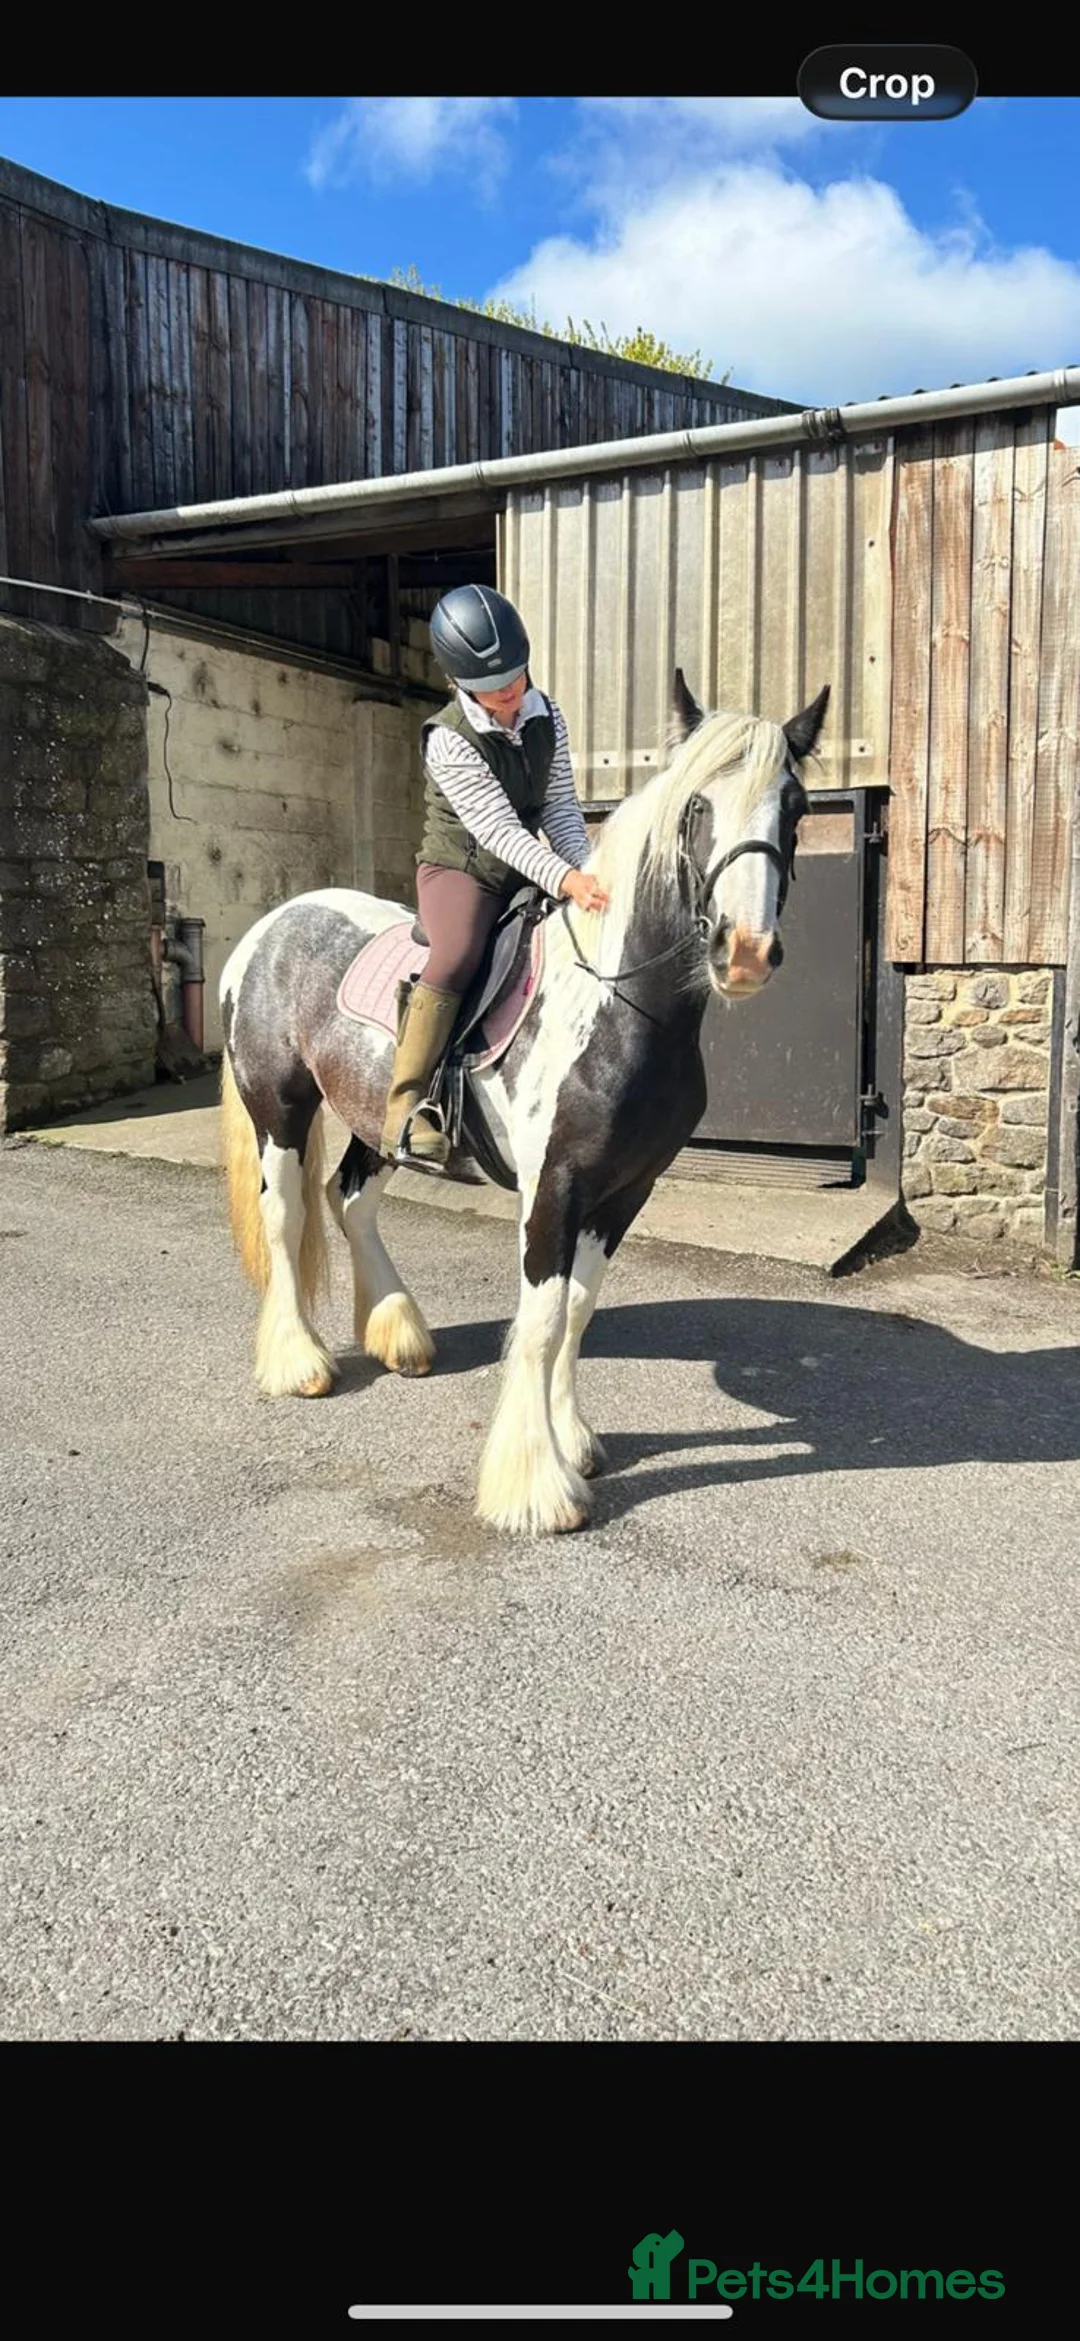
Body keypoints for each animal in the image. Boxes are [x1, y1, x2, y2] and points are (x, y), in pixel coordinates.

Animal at [217, 669, 830, 1536]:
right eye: (696, 806)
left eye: (797, 806)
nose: (743, 953)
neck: (616, 1005)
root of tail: (268, 927)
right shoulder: (556, 1189)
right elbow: (540, 1323)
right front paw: (534, 1485)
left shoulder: (625, 1190)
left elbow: (577, 1310)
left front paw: (573, 1441)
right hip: (281, 1109)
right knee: (287, 1215)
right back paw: (299, 1360)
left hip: (381, 1120)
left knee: (350, 1199)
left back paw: (400, 1333)